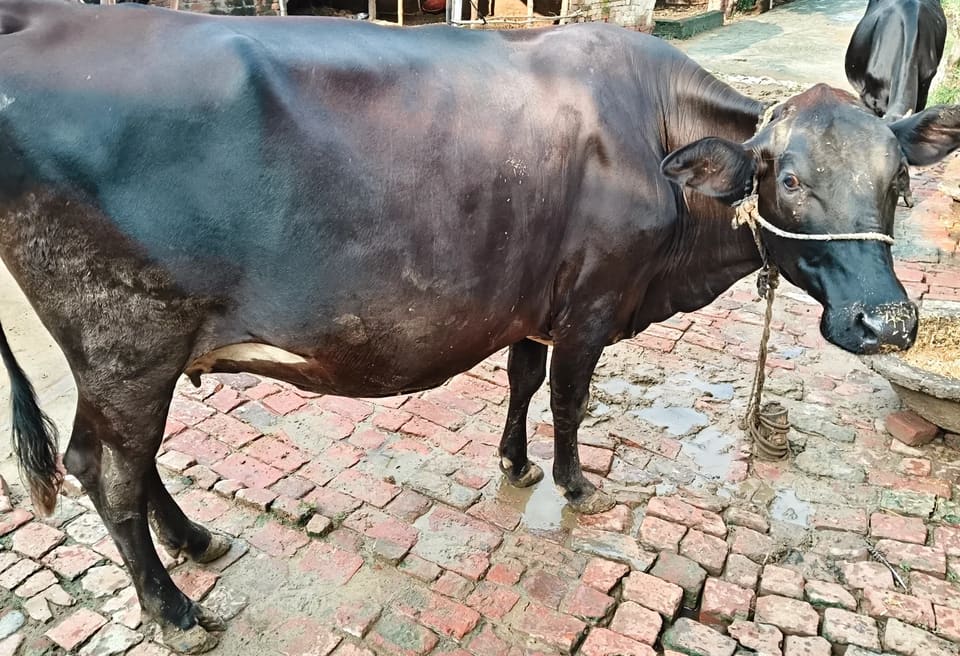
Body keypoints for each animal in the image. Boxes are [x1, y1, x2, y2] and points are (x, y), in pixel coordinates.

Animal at [1, 0, 958, 651]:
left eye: (898, 181)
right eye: (786, 179)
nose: (888, 320)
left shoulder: (537, 300)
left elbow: (523, 379)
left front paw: (514, 461)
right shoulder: (593, 304)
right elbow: (570, 399)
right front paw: (571, 480)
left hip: (136, 357)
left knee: (130, 465)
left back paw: (196, 541)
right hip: (127, 342)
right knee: (107, 471)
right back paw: (174, 609)